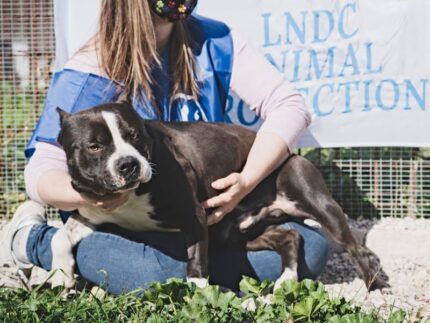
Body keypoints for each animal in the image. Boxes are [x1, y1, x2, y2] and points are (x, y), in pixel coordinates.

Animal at [49, 102, 390, 292]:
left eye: (134, 135)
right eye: (95, 146)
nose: (129, 164)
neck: (131, 195)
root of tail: (290, 152)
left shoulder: (194, 217)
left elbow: (197, 266)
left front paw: (198, 298)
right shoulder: (92, 211)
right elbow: (59, 236)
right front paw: (59, 275)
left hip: (317, 200)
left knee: (353, 247)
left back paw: (374, 284)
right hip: (238, 234)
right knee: (291, 236)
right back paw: (286, 280)